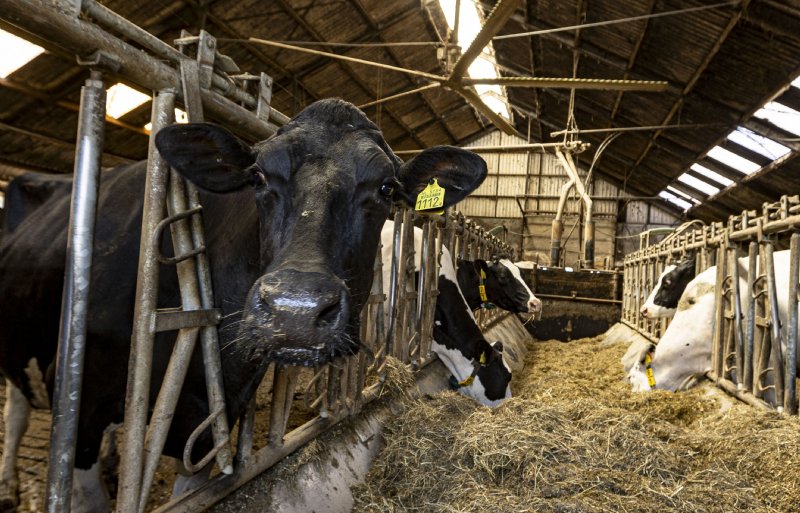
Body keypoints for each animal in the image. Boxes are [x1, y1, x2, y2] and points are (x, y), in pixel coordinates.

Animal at [0, 98, 488, 513]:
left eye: (387, 188)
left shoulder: (208, 422)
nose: (295, 311)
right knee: (17, 410)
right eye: (258, 176)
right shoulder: (77, 400)